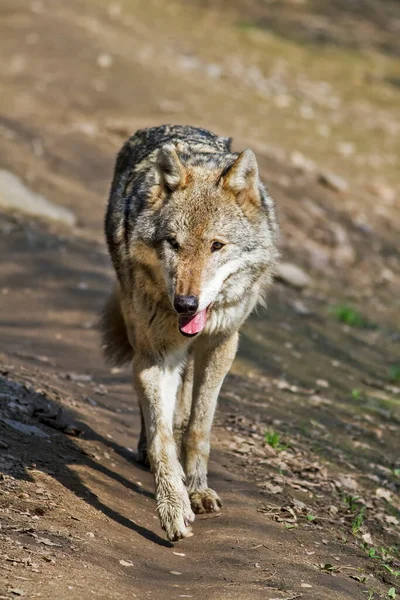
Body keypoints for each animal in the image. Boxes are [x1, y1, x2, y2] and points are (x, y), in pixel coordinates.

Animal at [101, 124, 280, 540]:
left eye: (217, 245)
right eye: (173, 243)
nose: (185, 304)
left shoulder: (222, 345)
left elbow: (199, 427)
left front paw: (197, 489)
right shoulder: (154, 356)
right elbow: (162, 435)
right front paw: (173, 504)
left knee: (185, 405)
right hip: (140, 335)